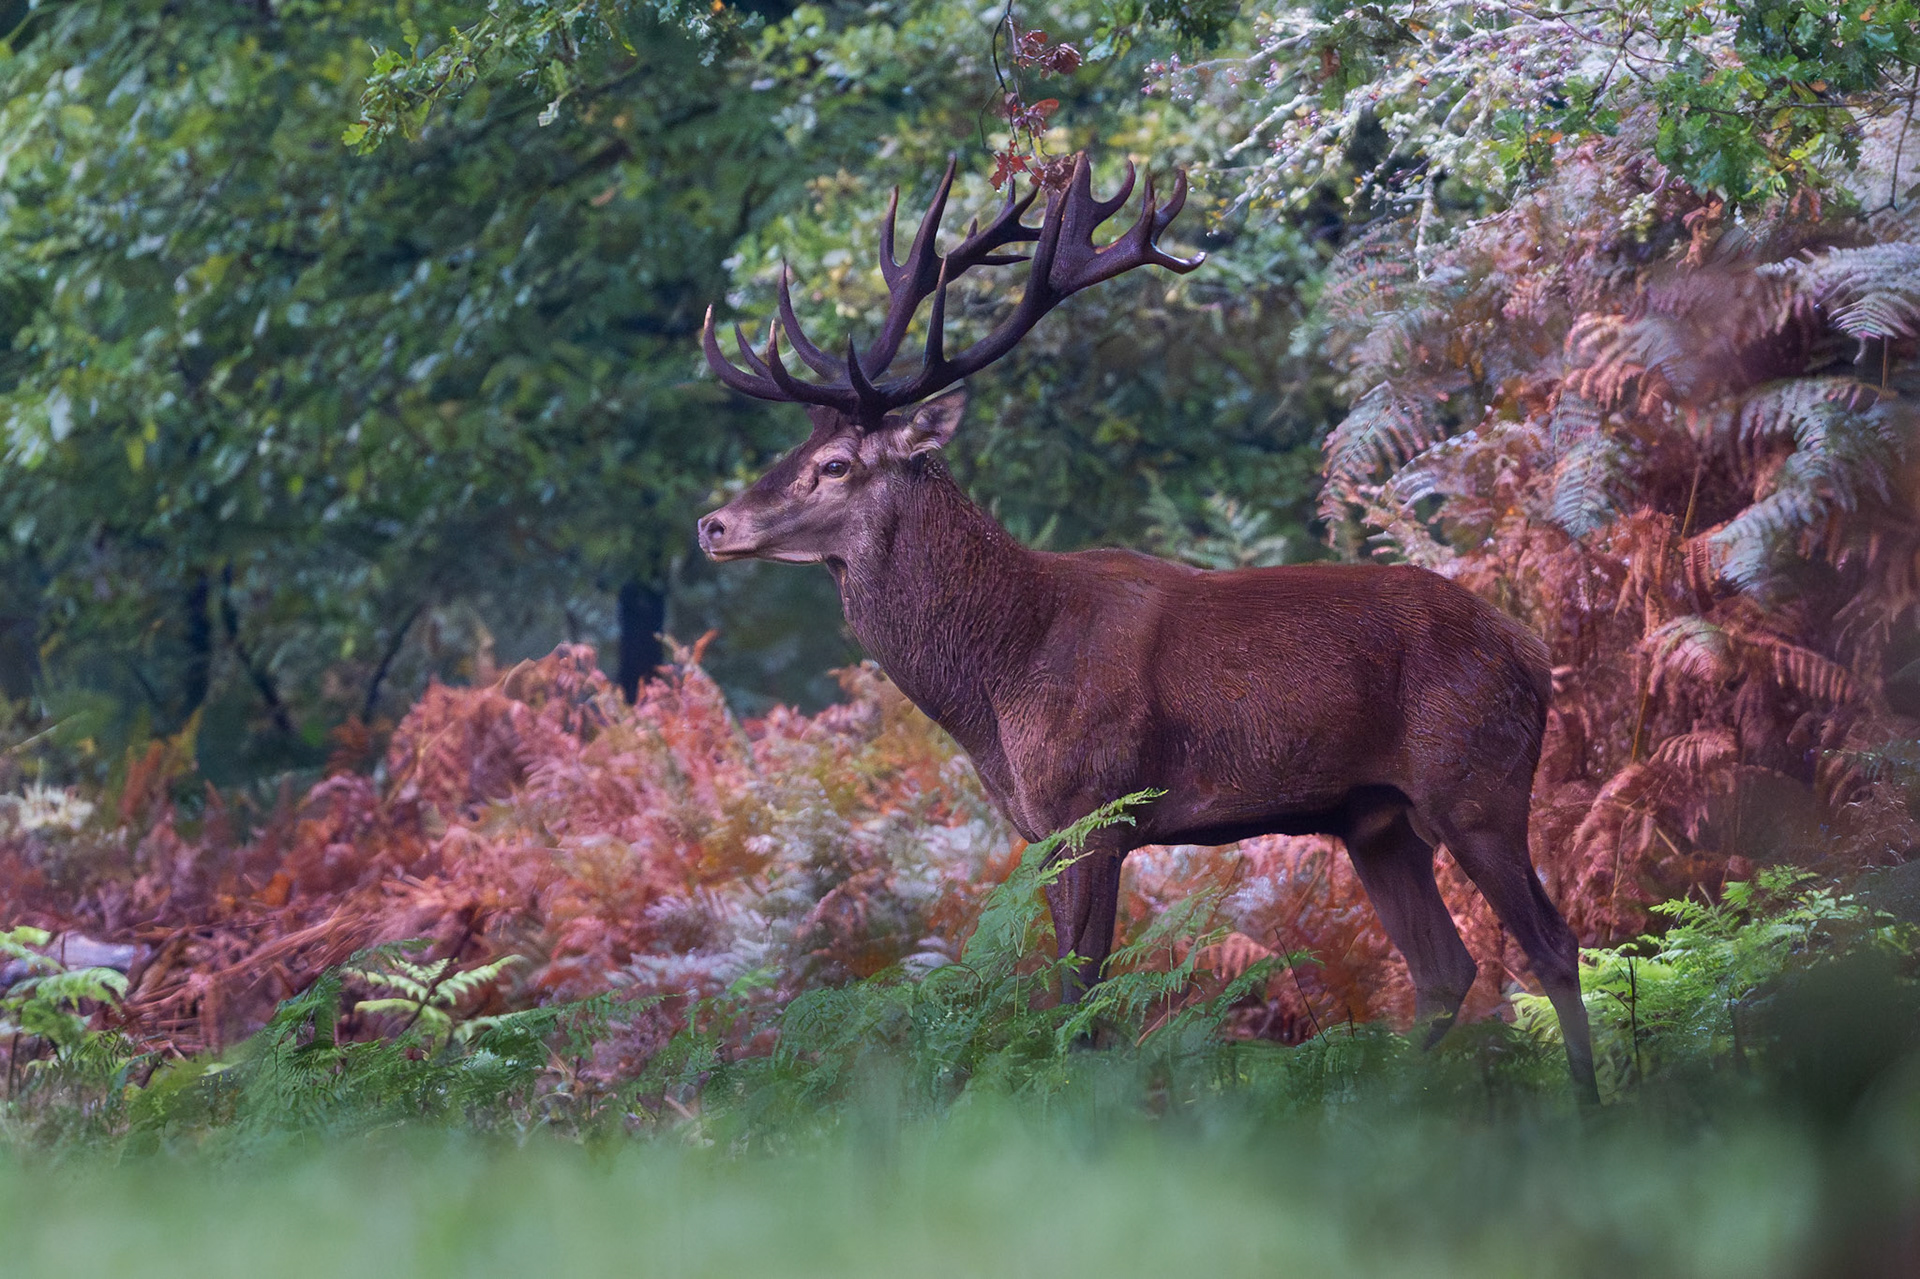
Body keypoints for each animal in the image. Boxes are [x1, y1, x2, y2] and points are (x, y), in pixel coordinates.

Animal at [696, 152, 1598, 1100]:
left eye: (835, 465)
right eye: (791, 452)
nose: (712, 525)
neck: (998, 678)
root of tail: (1532, 651)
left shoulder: (1095, 805)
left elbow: (1082, 1001)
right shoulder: (1043, 831)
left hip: (1478, 784)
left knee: (1553, 943)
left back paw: (1588, 1104)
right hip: (1377, 818)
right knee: (1445, 969)